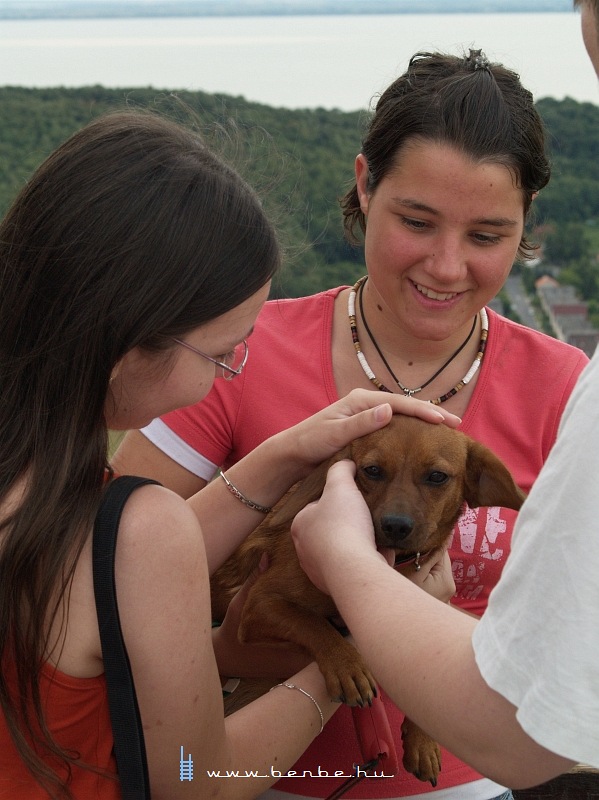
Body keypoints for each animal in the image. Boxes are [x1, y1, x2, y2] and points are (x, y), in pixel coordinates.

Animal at [212, 416, 524, 784]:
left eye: (437, 476)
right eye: (372, 470)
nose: (396, 526)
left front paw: (422, 741)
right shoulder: (260, 603)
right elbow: (313, 623)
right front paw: (346, 664)